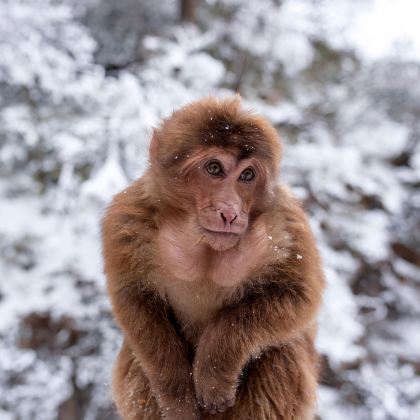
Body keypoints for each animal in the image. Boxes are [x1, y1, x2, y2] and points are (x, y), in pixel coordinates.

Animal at [101, 96, 324, 420]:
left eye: (247, 175)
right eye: (215, 168)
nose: (230, 212)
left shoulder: (286, 226)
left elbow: (298, 297)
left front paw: (214, 370)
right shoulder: (127, 220)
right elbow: (133, 296)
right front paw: (177, 397)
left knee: (281, 353)